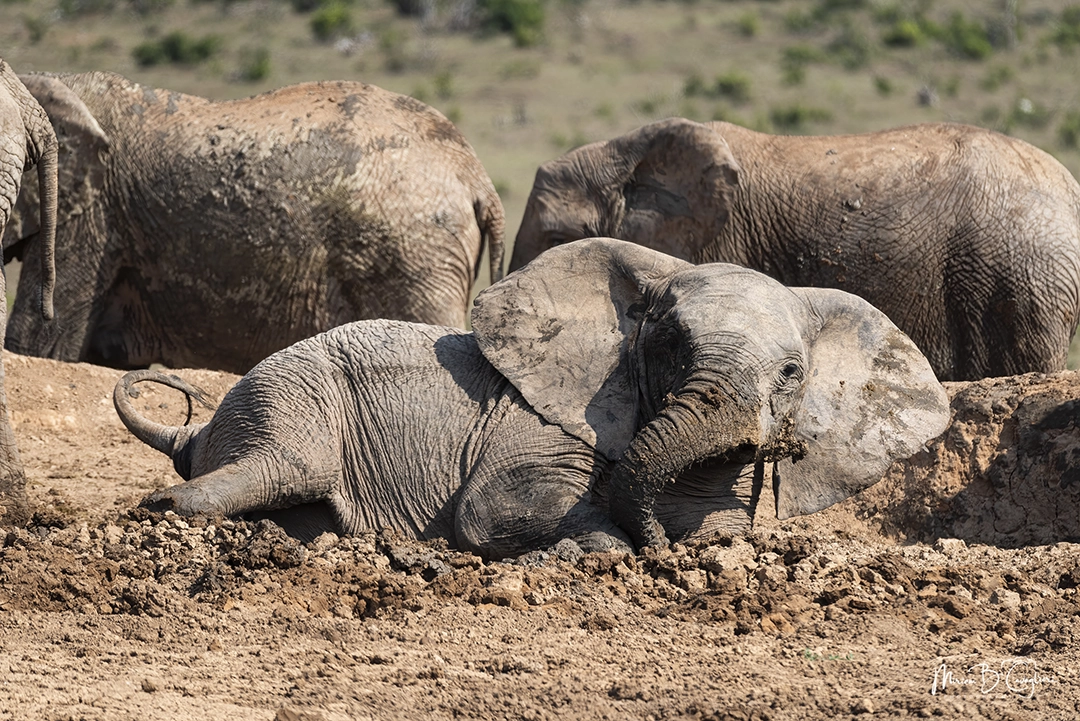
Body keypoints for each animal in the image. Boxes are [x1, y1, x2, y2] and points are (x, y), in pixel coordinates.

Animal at [113, 238, 949, 558]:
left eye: (790, 375)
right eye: (670, 344)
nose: (653, 542)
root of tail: (196, 434)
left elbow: (716, 530)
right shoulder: (543, 423)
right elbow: (494, 510)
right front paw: (606, 546)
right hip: (288, 399)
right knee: (272, 469)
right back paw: (158, 511)